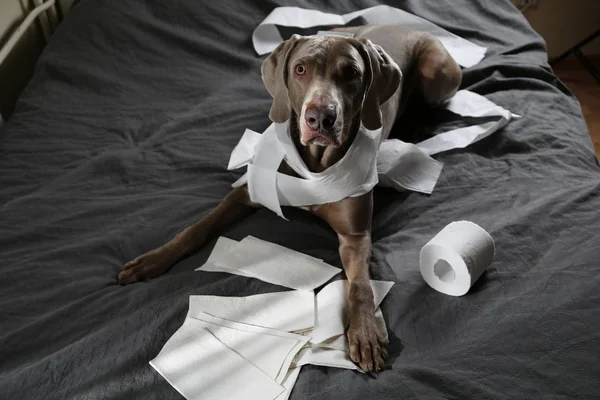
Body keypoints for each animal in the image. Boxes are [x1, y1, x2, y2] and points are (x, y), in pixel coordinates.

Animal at [118, 25, 464, 374]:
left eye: (351, 73)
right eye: (300, 70)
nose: (321, 118)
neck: (315, 163)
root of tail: (410, 25)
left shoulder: (355, 235)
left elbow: (361, 287)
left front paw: (365, 332)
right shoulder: (247, 192)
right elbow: (196, 228)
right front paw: (152, 259)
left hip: (437, 76)